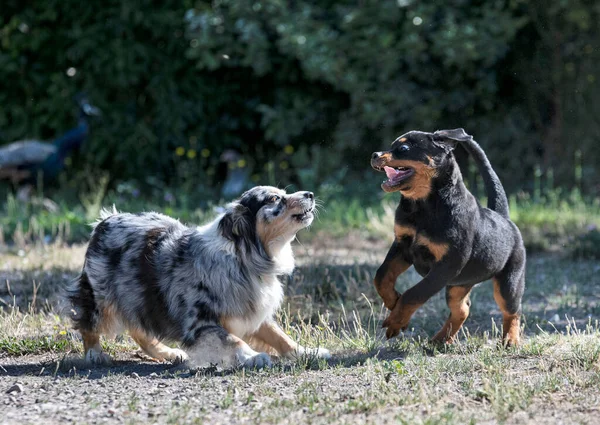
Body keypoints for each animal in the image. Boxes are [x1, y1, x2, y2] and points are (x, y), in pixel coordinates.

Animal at [370, 128, 524, 344]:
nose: (374, 155)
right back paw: (440, 339)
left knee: (512, 310)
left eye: (404, 148)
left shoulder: (447, 264)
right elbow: (381, 276)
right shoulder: (402, 246)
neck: (423, 205)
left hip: (509, 281)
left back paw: (511, 339)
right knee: (462, 309)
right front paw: (393, 302)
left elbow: (414, 293)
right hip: (458, 285)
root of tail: (504, 218)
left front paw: (395, 321)